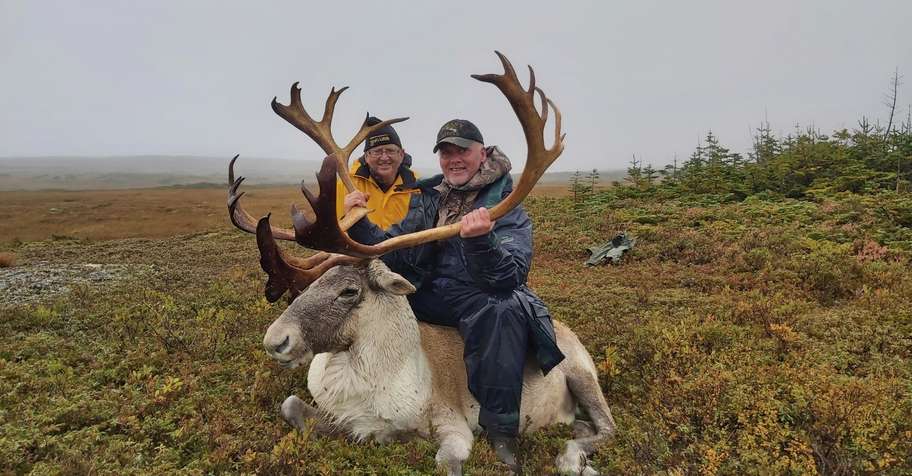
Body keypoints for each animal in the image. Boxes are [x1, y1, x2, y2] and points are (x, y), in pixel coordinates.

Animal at [227, 52, 615, 475]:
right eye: (309, 285)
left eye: (349, 290)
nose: (275, 340)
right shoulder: (340, 417)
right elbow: (290, 405)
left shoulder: (454, 425)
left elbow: (445, 460)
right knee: (583, 425)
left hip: (581, 374)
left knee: (607, 426)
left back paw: (571, 459)